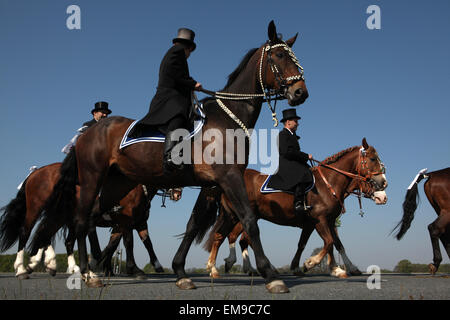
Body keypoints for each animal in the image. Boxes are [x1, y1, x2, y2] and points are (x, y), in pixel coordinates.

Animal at [0, 164, 167, 278]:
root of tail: (36, 172)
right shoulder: (125, 221)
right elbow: (126, 243)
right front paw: (132, 269)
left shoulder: (138, 223)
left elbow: (146, 243)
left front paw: (157, 265)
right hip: (36, 208)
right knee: (27, 231)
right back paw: (22, 268)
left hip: (60, 216)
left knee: (49, 234)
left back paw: (50, 264)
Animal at [29, 20, 310, 296]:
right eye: (280, 55)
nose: (300, 93)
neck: (228, 118)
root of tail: (87, 133)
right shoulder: (229, 177)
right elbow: (250, 221)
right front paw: (271, 275)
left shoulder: (211, 185)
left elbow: (192, 225)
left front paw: (180, 271)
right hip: (92, 179)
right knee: (80, 220)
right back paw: (88, 274)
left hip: (116, 184)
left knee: (90, 219)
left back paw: (92, 268)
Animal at [204, 139, 386, 278]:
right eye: (372, 159)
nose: (384, 191)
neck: (328, 183)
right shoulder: (320, 220)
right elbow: (329, 242)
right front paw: (310, 263)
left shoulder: (322, 222)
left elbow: (328, 244)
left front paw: (338, 268)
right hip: (237, 216)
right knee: (229, 237)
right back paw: (220, 267)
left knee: (228, 237)